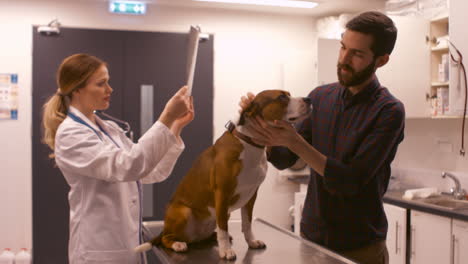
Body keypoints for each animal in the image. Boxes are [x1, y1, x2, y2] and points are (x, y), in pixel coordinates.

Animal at [134, 90, 310, 260]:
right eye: (281, 97)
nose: (308, 99)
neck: (249, 143)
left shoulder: (251, 195)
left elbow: (247, 223)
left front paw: (251, 241)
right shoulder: (222, 194)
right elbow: (223, 228)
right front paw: (226, 251)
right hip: (183, 212)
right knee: (167, 238)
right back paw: (177, 244)